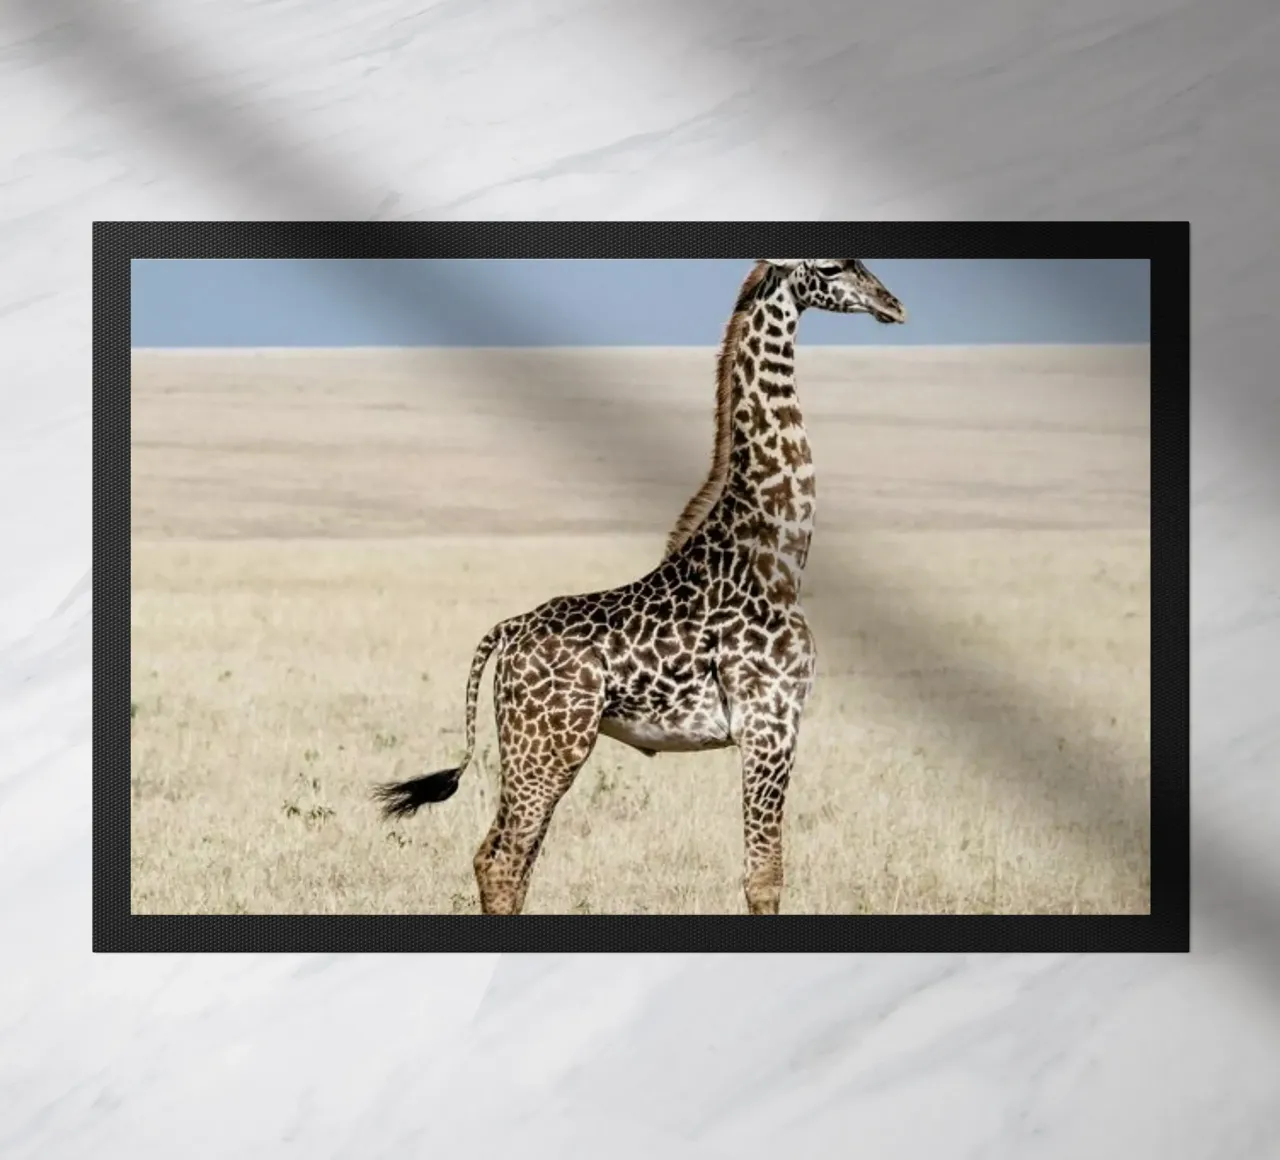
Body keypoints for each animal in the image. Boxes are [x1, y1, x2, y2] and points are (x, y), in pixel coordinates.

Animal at [374, 259, 907, 915]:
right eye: (832, 267)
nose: (892, 305)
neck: (777, 558)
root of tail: (508, 631)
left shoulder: (772, 726)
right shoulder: (770, 723)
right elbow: (764, 876)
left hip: (536, 746)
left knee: (504, 859)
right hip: (549, 744)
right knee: (501, 861)